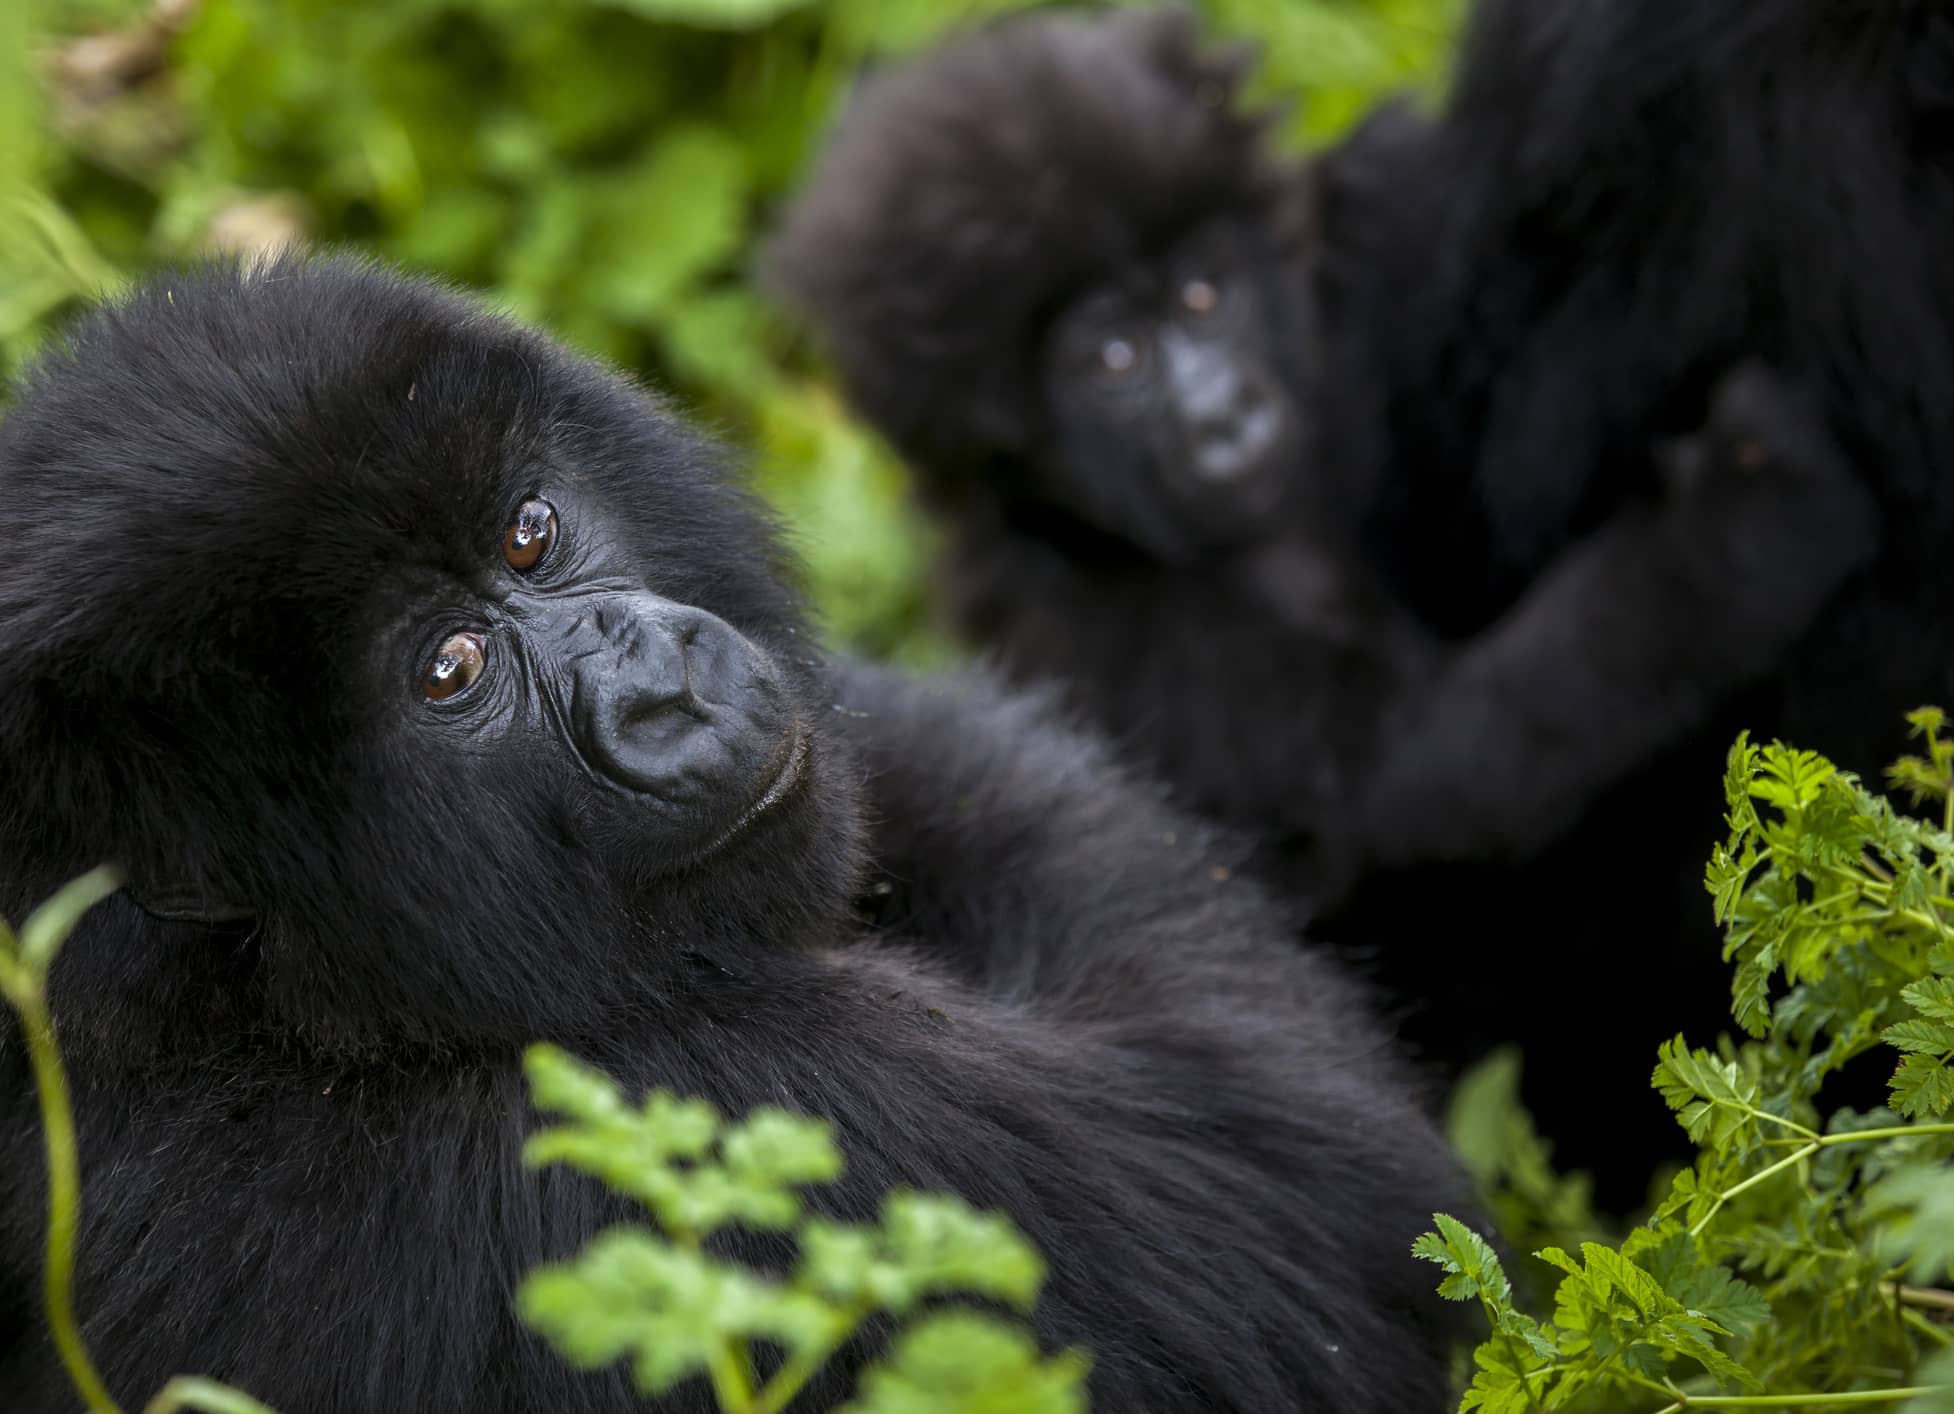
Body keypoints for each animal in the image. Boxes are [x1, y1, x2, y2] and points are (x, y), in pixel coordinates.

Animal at [0, 257, 1469, 1414]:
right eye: (448, 670)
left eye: (528, 535)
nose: (663, 685)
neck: (231, 1011)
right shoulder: (740, 1109)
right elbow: (1294, 1184)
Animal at [754, 8, 1883, 1203]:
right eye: (1113, 358)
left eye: (1203, 294)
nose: (1223, 413)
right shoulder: (1121, 630)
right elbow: (1414, 769)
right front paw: (1743, 523)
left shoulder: (1361, 263)